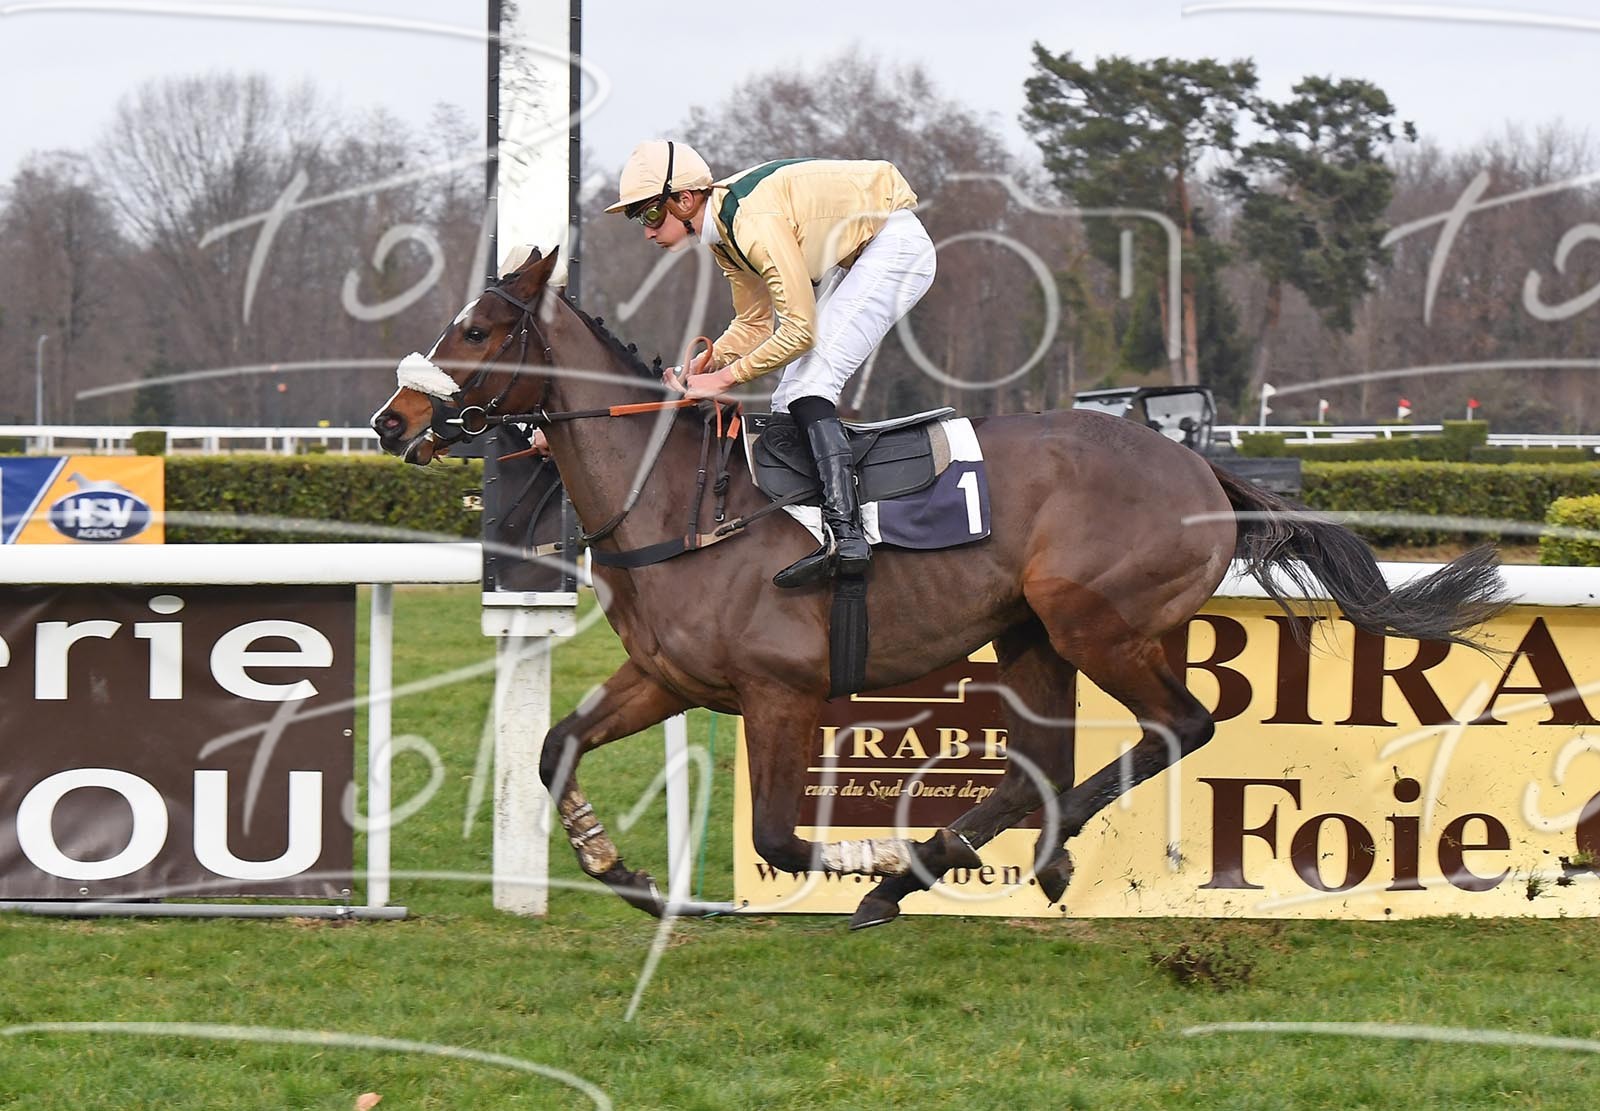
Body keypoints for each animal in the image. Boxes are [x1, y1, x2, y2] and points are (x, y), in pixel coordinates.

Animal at [371, 247, 1509, 929]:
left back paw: (953, 867)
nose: (391, 419)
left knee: (1179, 726)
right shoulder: (668, 677)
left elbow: (777, 835)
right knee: (1040, 766)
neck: (681, 505)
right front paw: (624, 870)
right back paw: (987, 860)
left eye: (476, 329)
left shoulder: (782, 690)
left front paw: (867, 858)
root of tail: (1197, 469)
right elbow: (555, 744)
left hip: (1096, 626)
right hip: (1030, 636)